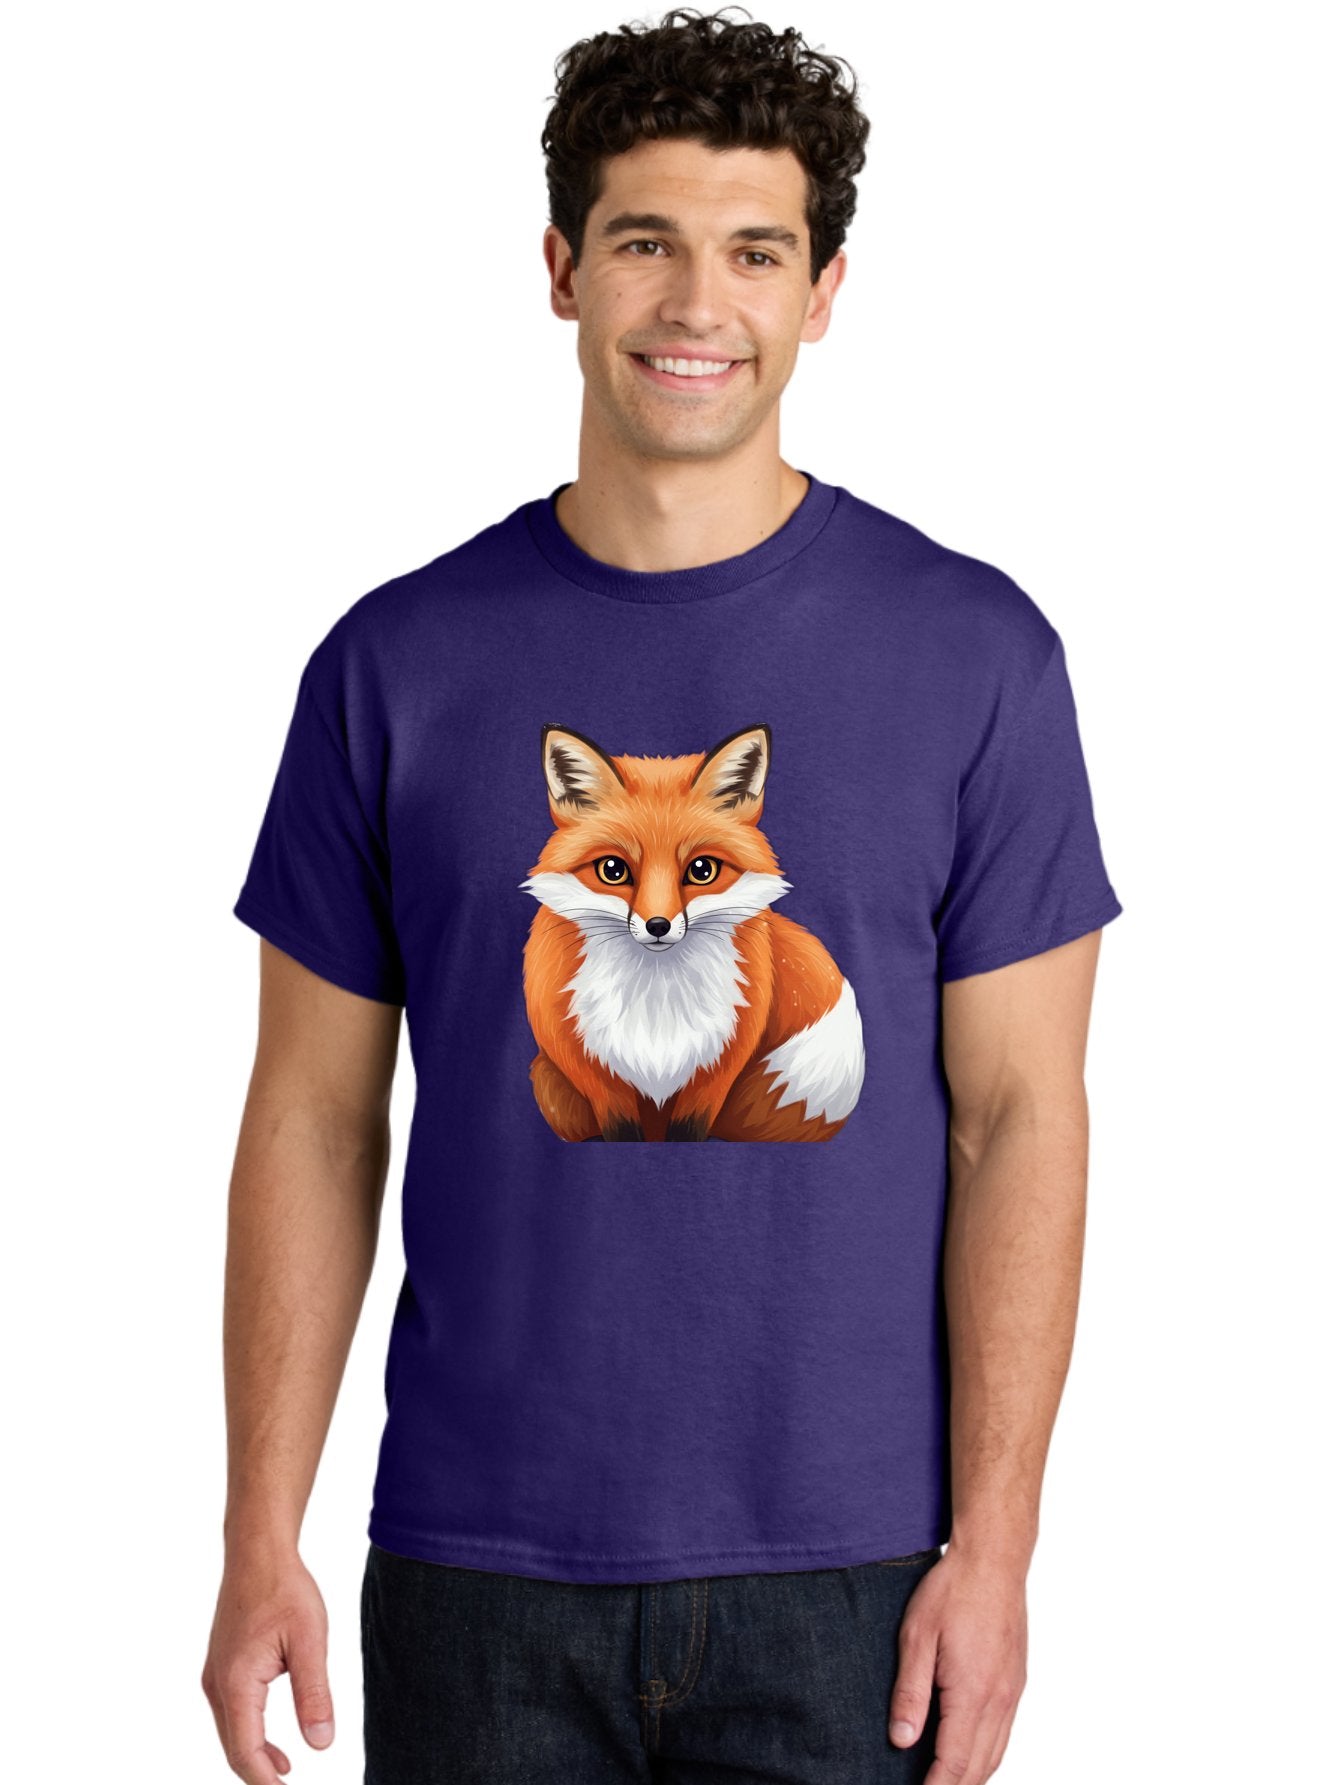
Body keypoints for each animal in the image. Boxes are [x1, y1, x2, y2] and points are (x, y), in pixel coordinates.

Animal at [518, 722, 865, 1142]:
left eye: (702, 870)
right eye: (612, 871)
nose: (658, 925)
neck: (656, 1005)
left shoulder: (718, 1070)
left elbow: (689, 1129)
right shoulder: (592, 1073)